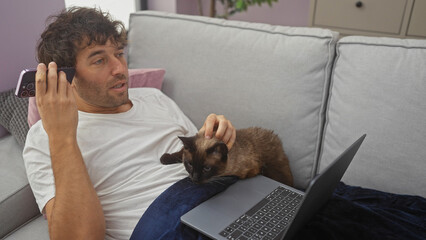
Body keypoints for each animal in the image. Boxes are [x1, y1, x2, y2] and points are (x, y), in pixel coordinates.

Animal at [160, 127, 292, 186]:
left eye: (206, 168)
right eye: (190, 164)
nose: (195, 178)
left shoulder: (250, 170)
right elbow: (179, 152)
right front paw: (164, 159)